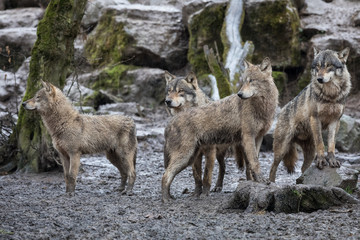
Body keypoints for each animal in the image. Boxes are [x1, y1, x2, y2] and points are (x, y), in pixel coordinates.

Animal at [162, 58, 278, 202]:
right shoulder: (248, 137)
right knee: (165, 176)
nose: (239, 94)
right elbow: (255, 162)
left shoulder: (258, 137)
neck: (261, 106)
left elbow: (252, 162)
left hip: (191, 157)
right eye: (244, 81)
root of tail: (171, 120)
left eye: (251, 80)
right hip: (186, 156)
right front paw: (261, 180)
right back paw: (166, 199)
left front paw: (255, 181)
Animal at [270, 47, 352, 182]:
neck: (330, 95)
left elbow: (331, 144)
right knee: (273, 168)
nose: (319, 79)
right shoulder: (315, 118)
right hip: (281, 149)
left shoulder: (335, 121)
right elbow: (321, 143)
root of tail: (282, 109)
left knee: (304, 168)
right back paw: (270, 183)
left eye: (329, 66)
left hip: (309, 152)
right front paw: (321, 161)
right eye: (317, 67)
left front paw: (332, 160)